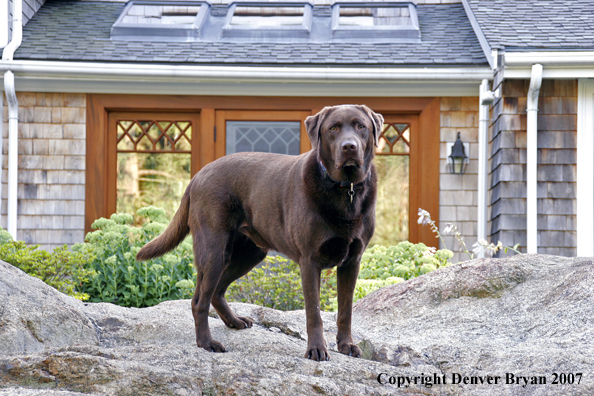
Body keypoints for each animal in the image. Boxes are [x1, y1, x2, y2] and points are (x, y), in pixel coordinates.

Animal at [136, 103, 382, 360]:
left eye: (361, 126)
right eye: (333, 128)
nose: (349, 146)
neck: (346, 190)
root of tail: (198, 175)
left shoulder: (352, 261)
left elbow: (345, 311)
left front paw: (347, 346)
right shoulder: (310, 261)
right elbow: (314, 312)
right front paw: (316, 349)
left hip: (249, 253)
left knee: (217, 291)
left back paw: (234, 321)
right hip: (213, 251)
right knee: (199, 301)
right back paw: (207, 343)